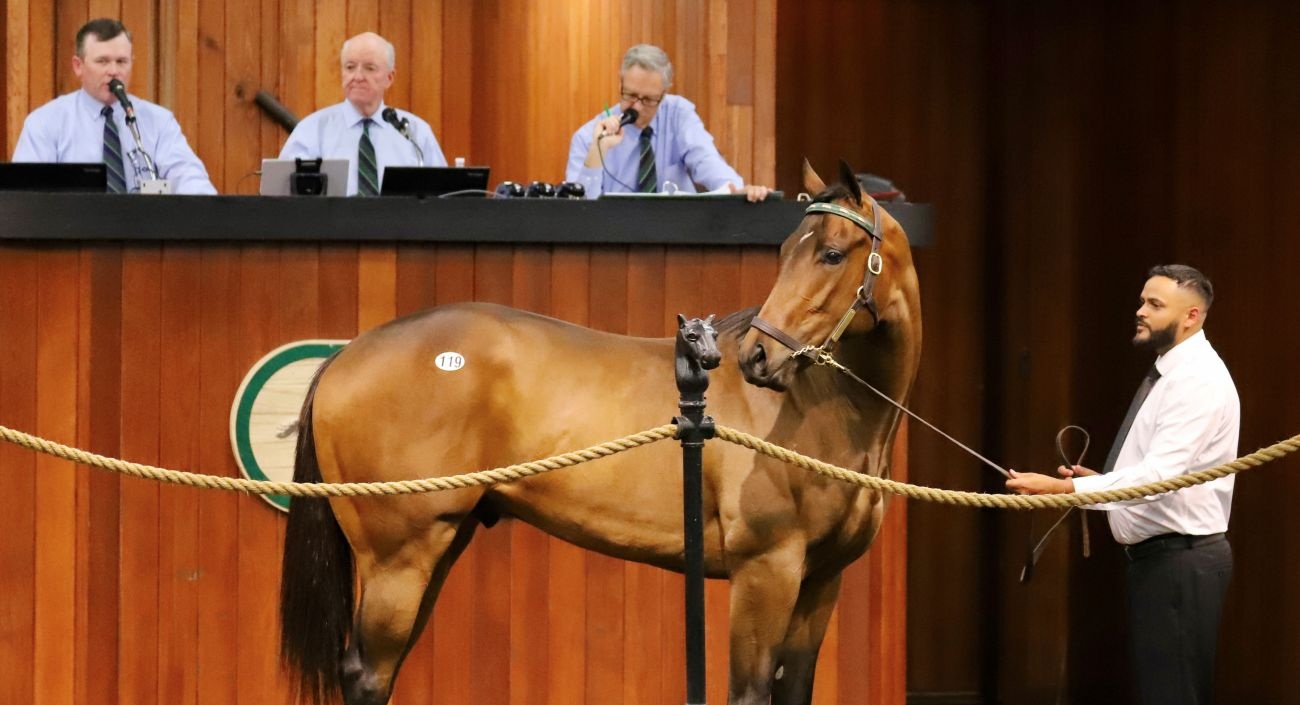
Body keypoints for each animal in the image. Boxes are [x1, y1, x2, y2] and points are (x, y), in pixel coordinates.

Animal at [279, 159, 920, 705]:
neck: (820, 410)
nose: (758, 359)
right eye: (790, 251)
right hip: (399, 559)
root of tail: (343, 357)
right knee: (367, 675)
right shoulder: (766, 571)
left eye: (831, 254)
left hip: (438, 546)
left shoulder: (821, 581)